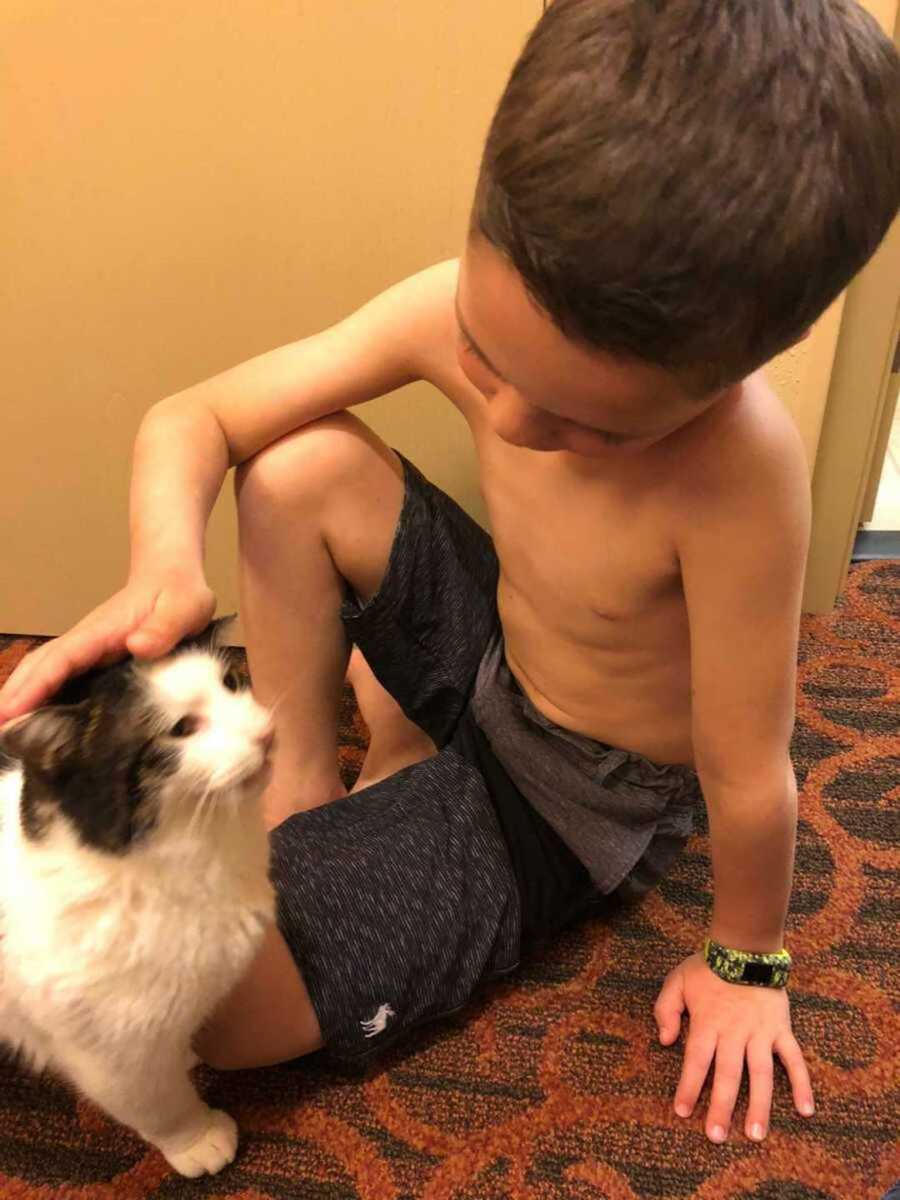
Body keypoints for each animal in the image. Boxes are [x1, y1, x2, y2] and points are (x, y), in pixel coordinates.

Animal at [0, 624, 277, 1176]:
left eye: (232, 682)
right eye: (182, 728)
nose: (263, 735)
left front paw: (188, 1052)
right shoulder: (114, 1060)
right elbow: (162, 1106)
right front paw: (197, 1140)